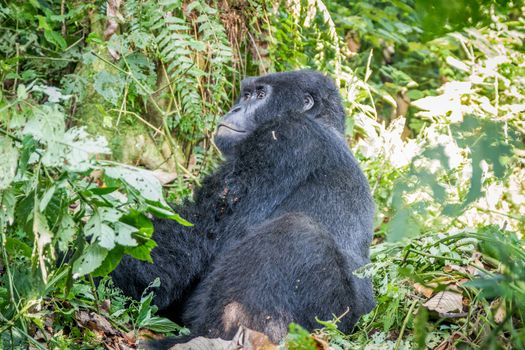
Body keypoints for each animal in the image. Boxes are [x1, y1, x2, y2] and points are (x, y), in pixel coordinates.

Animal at [110, 69, 374, 346]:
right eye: (245, 94)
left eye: (259, 95)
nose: (234, 108)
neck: (324, 121)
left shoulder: (287, 135)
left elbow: (204, 228)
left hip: (327, 323)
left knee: (298, 232)